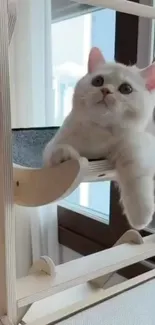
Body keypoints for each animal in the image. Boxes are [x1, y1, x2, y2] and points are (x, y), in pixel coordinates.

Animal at [42, 46, 155, 229]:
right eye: (98, 81)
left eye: (126, 89)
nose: (105, 90)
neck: (99, 131)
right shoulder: (53, 145)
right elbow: (56, 150)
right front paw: (66, 155)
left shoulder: (136, 147)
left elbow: (136, 178)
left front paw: (140, 217)